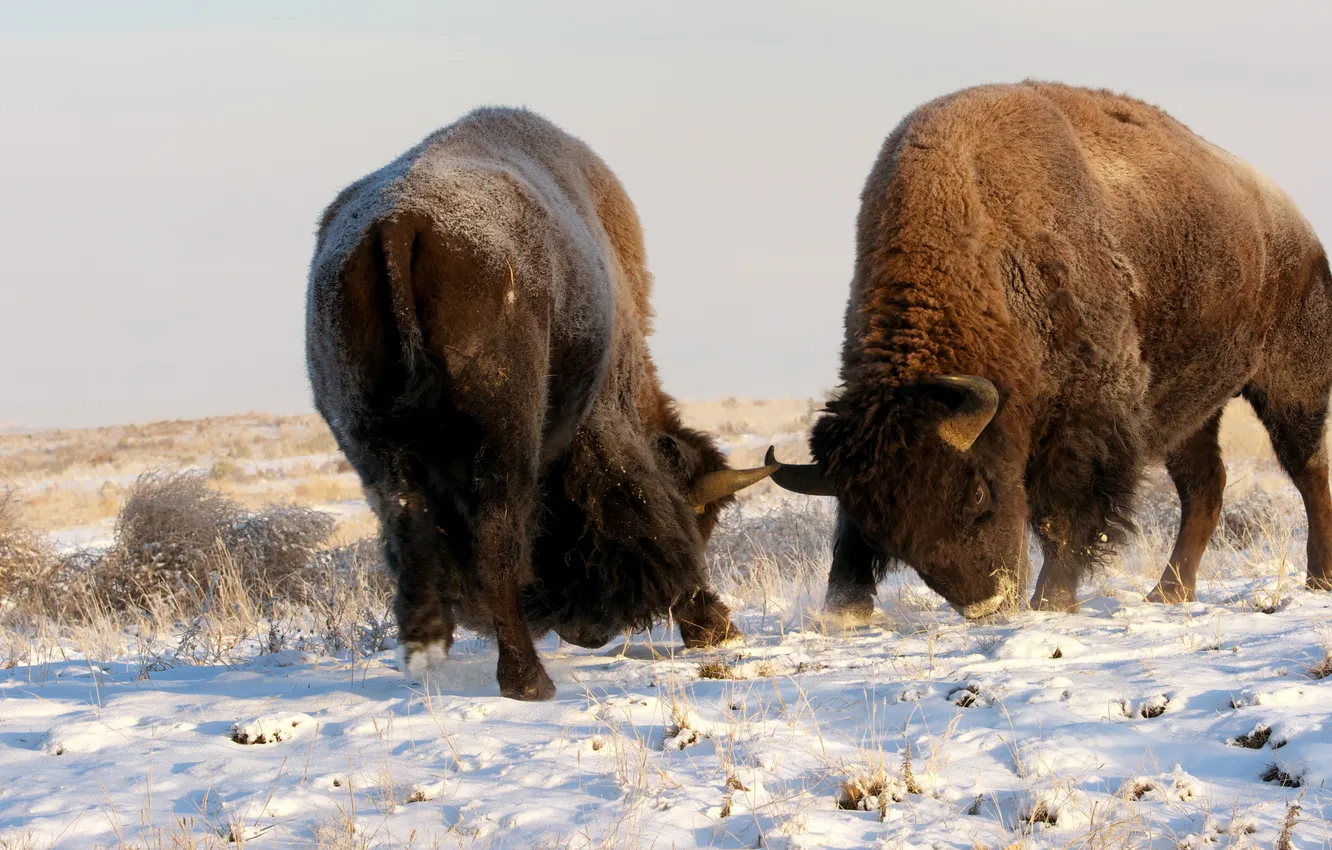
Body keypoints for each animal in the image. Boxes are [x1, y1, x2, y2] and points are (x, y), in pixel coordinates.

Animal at [305, 106, 777, 703]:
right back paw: (530, 681)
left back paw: (428, 661)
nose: (589, 633)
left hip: (371, 442)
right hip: (502, 437)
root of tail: (396, 225)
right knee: (499, 545)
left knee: (411, 542)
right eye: (700, 518)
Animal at [772, 81, 1332, 618]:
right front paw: (842, 610)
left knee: (1308, 470)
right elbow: (848, 533)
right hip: (1191, 410)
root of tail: (1296, 228)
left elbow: (1064, 515)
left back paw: (1317, 579)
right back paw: (1168, 593)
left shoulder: (1085, 420)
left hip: (1290, 387)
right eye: (891, 533)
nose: (989, 604)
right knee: (1204, 488)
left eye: (978, 491)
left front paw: (1052, 600)